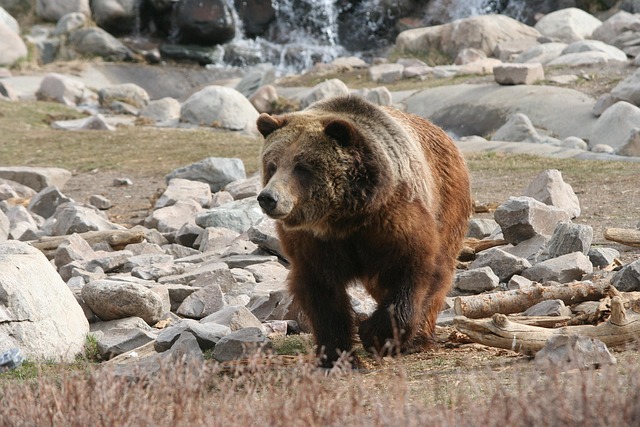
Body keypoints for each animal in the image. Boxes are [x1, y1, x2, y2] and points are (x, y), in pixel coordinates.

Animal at [256, 95, 472, 368]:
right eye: (272, 165)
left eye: (301, 167)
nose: (268, 198)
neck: (344, 219)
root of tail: (442, 133)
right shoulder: (313, 242)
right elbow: (322, 292)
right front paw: (338, 355)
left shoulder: (393, 219)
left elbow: (414, 269)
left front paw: (376, 334)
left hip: (447, 198)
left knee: (440, 270)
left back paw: (419, 338)